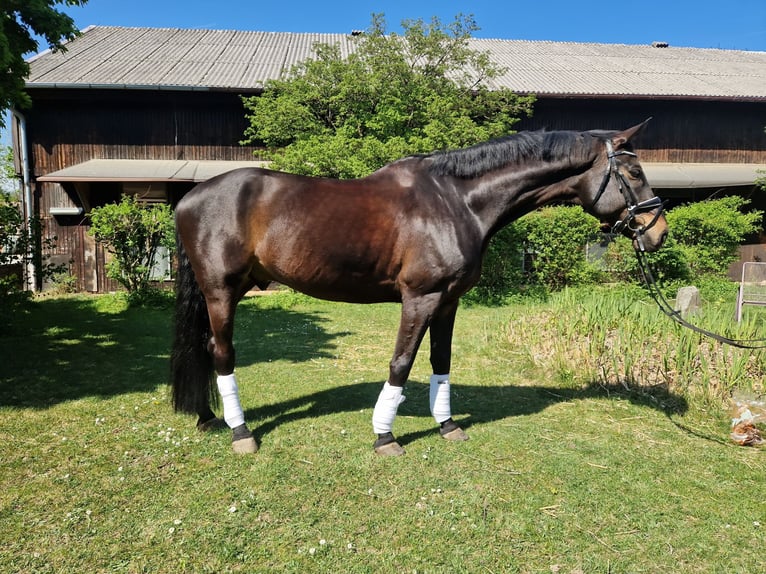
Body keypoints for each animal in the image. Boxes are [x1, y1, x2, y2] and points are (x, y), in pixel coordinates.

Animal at [170, 121, 668, 456]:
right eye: (635, 173)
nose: (658, 232)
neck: (455, 200)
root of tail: (190, 197)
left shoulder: (448, 301)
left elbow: (440, 361)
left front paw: (446, 425)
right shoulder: (420, 298)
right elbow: (402, 362)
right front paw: (385, 435)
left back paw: (208, 416)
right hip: (221, 292)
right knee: (222, 353)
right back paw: (241, 432)